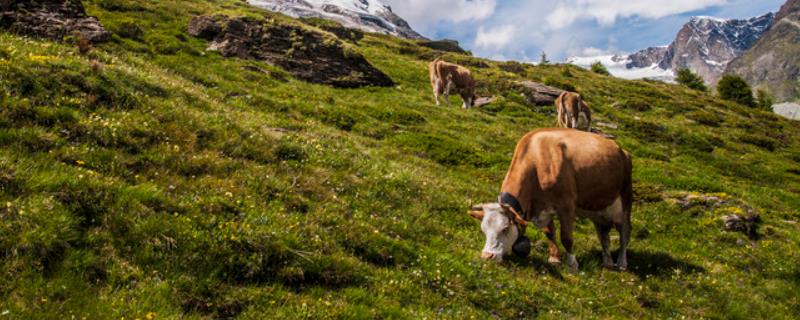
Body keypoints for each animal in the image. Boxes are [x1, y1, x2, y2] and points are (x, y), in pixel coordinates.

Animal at [468, 129, 632, 272]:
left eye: (505, 228)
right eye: (483, 230)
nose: (487, 255)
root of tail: (621, 150)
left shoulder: (567, 204)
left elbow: (566, 237)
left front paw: (572, 264)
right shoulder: (543, 208)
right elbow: (549, 233)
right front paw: (554, 258)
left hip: (625, 200)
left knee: (624, 232)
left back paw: (622, 263)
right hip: (599, 210)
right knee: (603, 235)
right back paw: (608, 262)